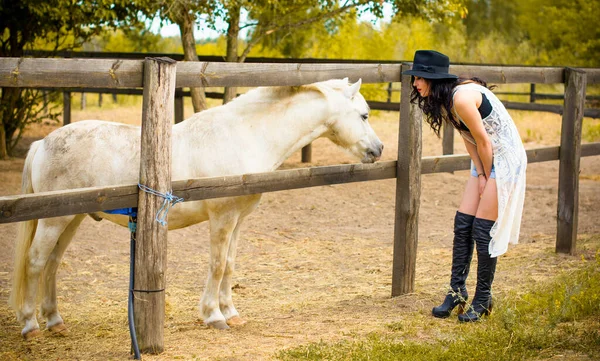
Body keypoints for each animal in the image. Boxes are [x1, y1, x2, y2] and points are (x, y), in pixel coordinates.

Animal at [10, 77, 384, 338]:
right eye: (364, 115)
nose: (378, 149)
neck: (244, 136)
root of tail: (42, 143)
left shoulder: (238, 220)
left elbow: (230, 266)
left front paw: (231, 313)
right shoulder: (222, 218)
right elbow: (217, 266)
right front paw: (214, 316)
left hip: (70, 218)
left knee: (52, 264)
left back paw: (55, 321)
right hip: (55, 220)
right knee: (35, 261)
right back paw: (30, 325)